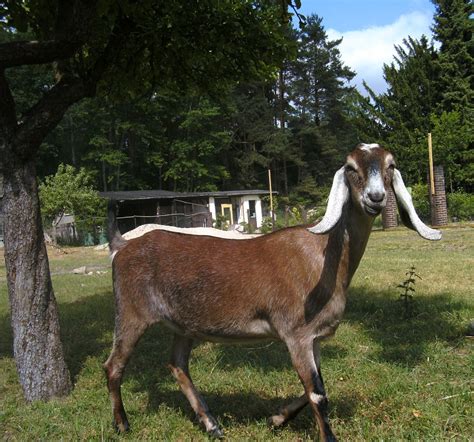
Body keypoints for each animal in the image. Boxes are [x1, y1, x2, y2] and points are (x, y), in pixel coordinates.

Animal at [103, 143, 440, 440]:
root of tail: (123, 246)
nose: (375, 197)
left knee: (177, 365)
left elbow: (315, 386)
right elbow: (317, 393)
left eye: (390, 165)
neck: (324, 256)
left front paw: (276, 419)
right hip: (131, 312)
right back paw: (122, 425)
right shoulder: (296, 334)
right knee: (113, 366)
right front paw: (325, 436)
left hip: (184, 325)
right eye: (350, 167)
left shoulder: (314, 337)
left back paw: (212, 425)